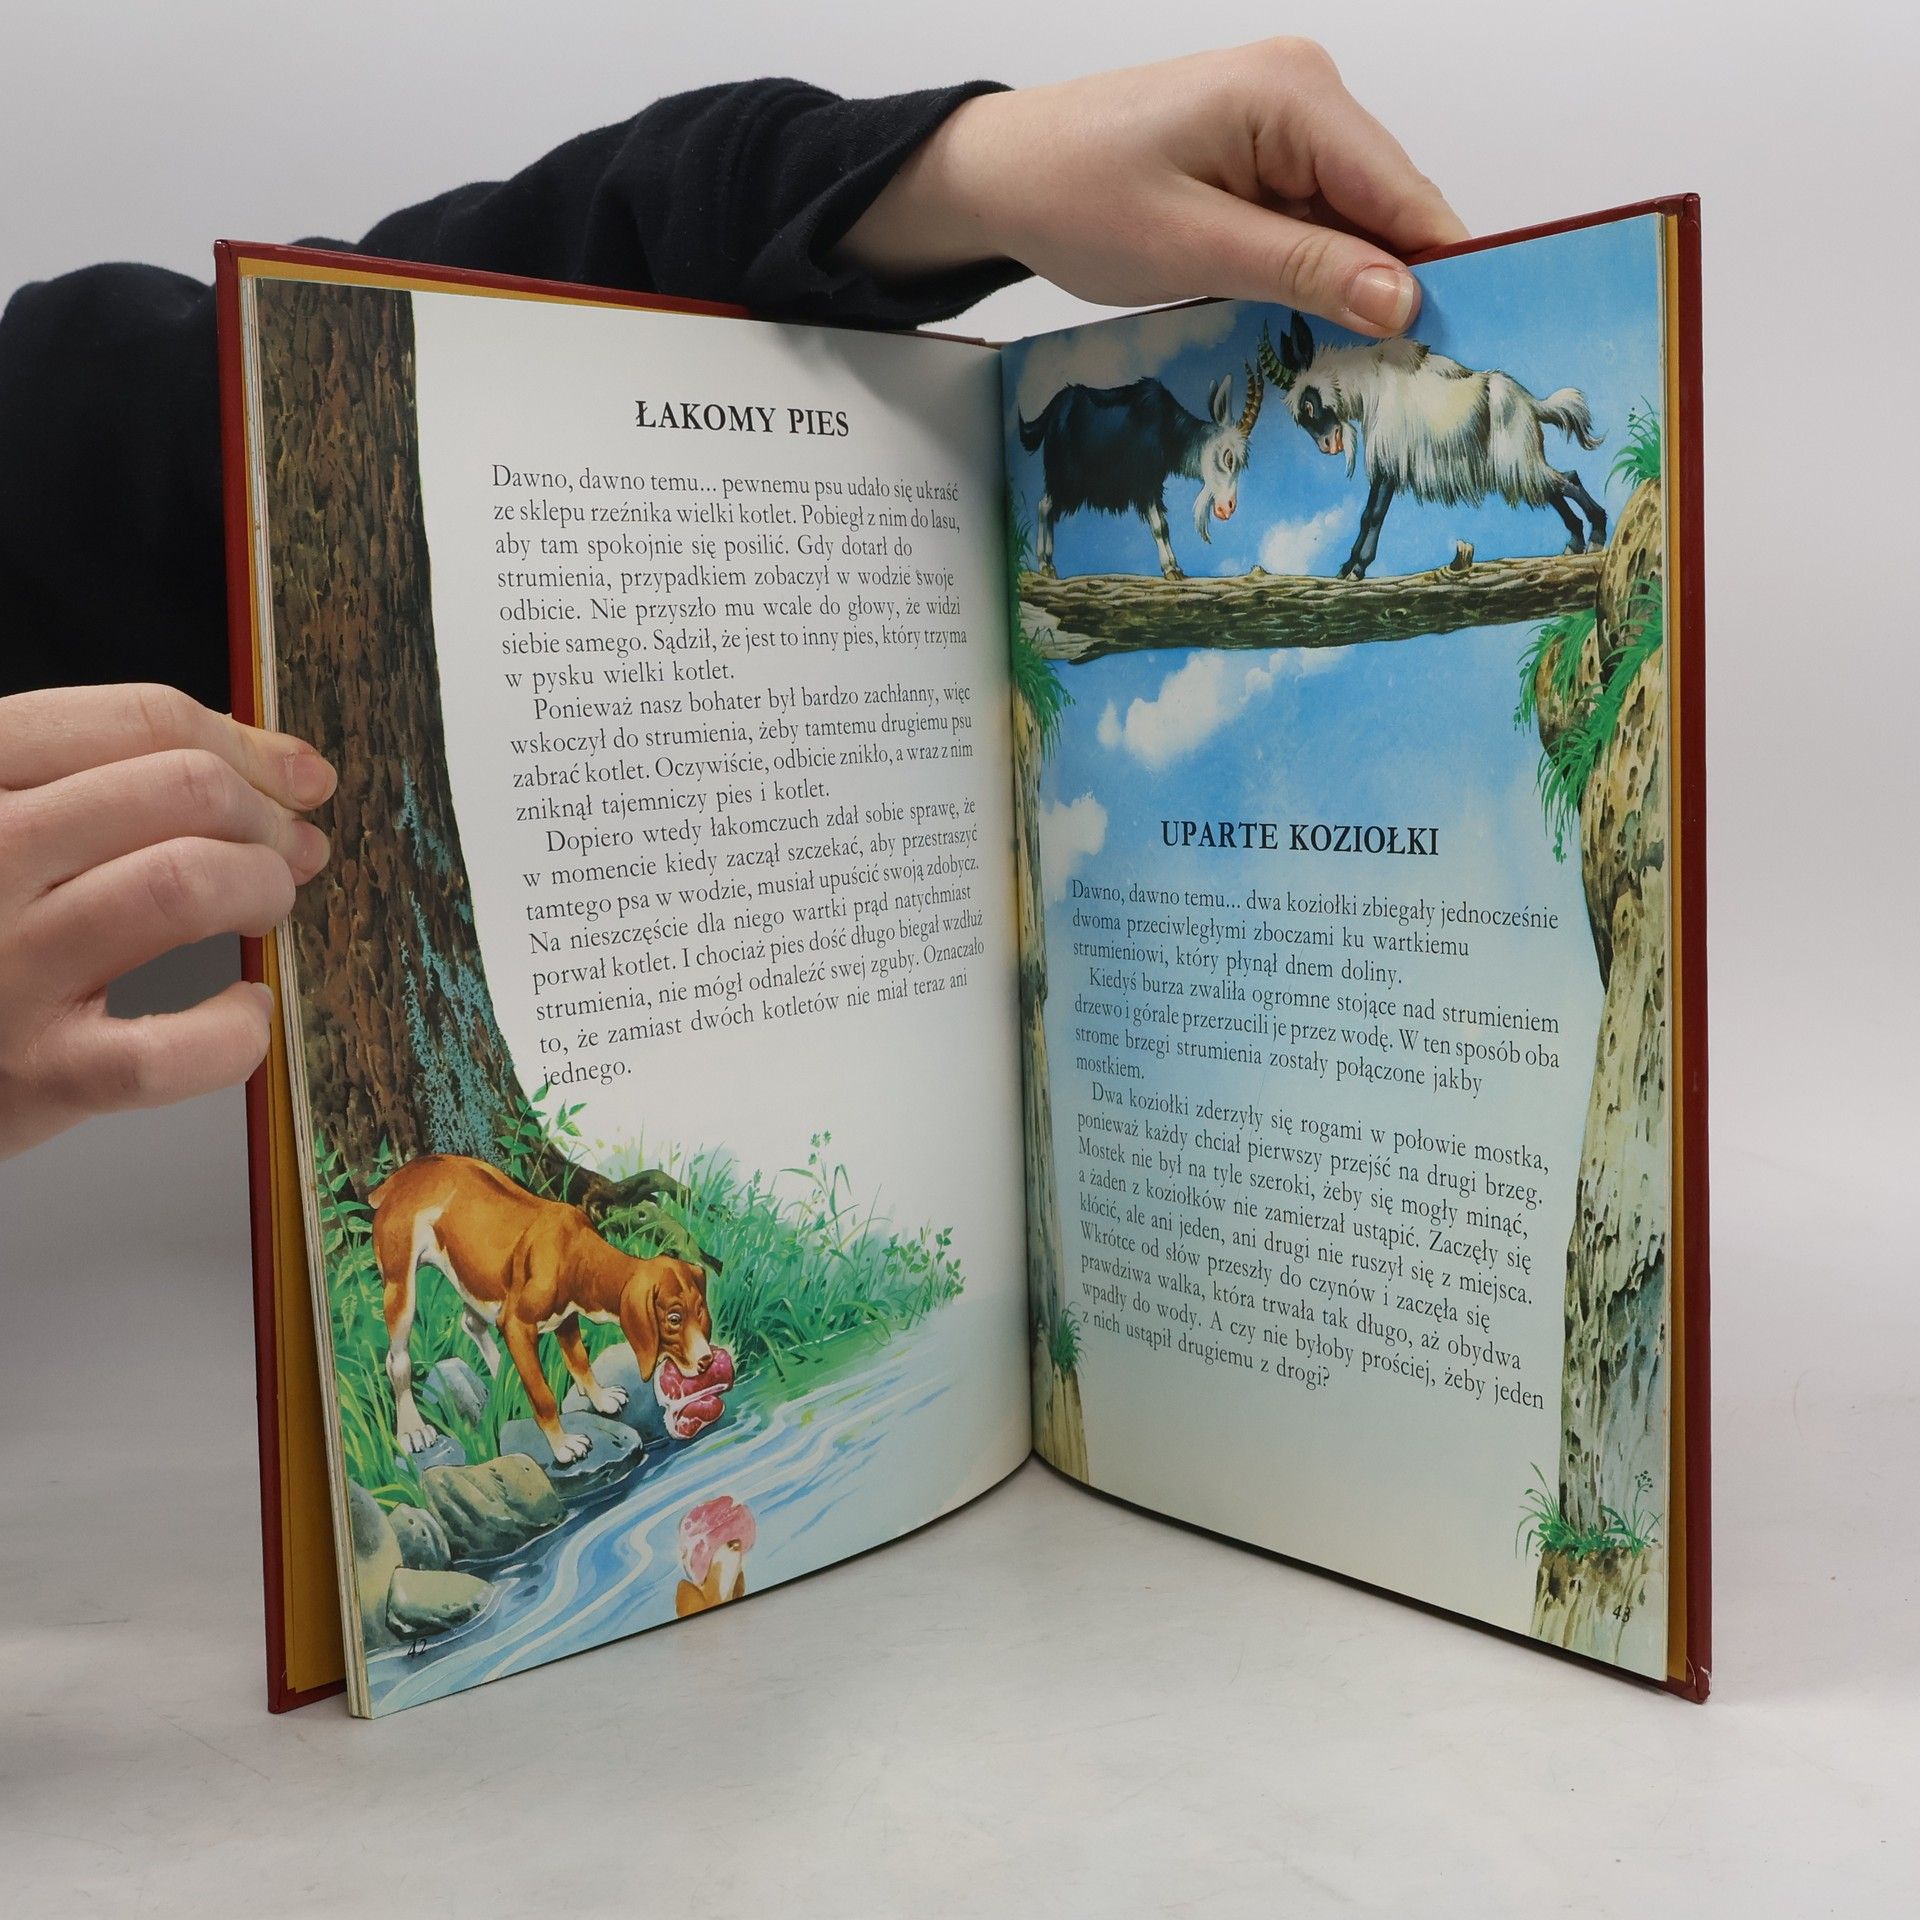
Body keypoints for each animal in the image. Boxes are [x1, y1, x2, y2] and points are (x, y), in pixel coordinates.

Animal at [369, 1154, 714, 1466]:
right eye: (673, 1318)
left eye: (700, 1311)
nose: (707, 1360)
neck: (578, 1255)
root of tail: (397, 1180)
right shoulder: (517, 1324)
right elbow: (543, 1396)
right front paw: (563, 1446)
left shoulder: (566, 1320)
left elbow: (580, 1363)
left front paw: (600, 1399)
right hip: (401, 1285)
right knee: (397, 1360)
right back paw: (412, 1430)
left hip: (470, 1273)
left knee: (471, 1323)